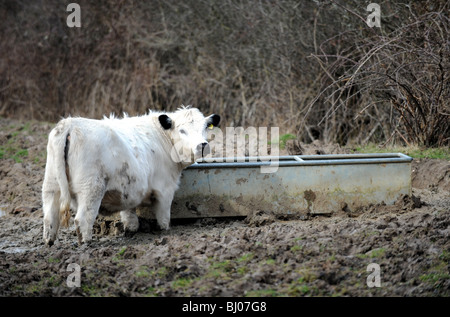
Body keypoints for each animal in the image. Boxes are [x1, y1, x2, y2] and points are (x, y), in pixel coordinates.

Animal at [41, 106, 221, 244]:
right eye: (182, 130)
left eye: (205, 127)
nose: (202, 145)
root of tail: (70, 123)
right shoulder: (165, 189)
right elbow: (163, 217)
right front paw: (164, 231)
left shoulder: (130, 188)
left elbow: (129, 211)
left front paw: (131, 229)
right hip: (91, 189)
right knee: (83, 219)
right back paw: (86, 243)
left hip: (51, 186)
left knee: (50, 218)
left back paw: (49, 243)